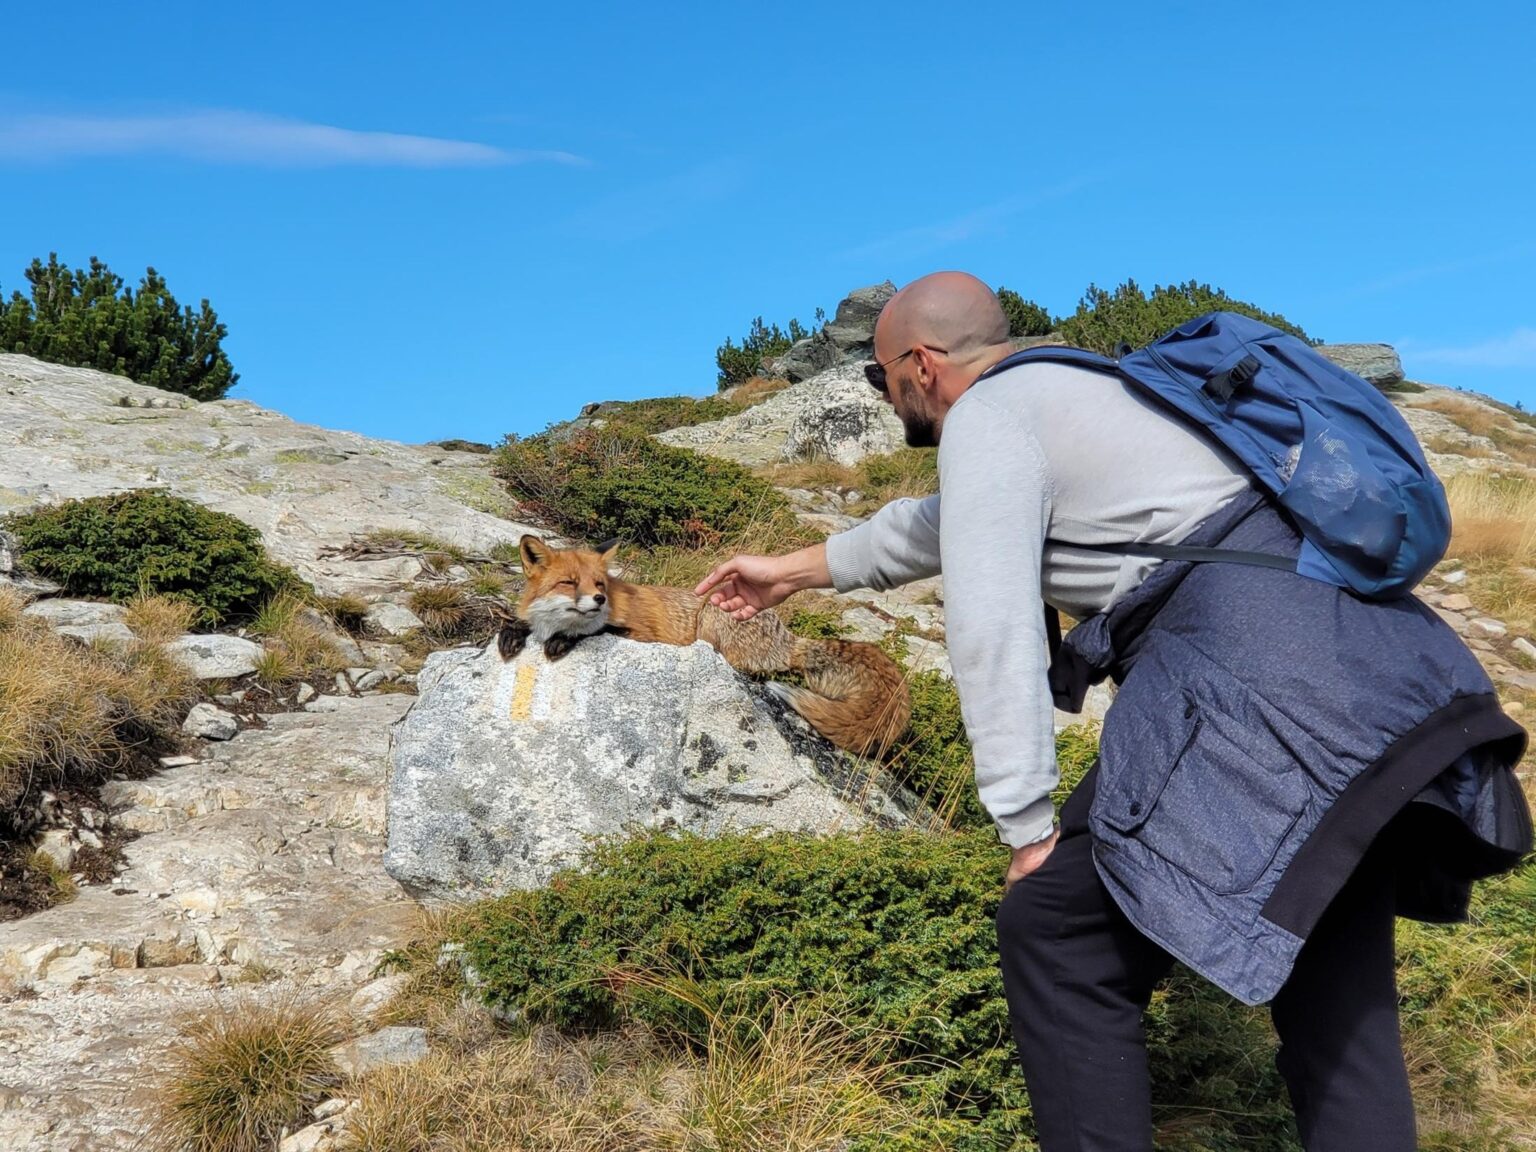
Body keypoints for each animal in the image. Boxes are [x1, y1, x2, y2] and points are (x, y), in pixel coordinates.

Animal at [496, 535, 911, 758]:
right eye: (568, 582)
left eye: (599, 584)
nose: (599, 600)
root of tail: (789, 638)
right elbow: (522, 622)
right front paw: (513, 632)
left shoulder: (640, 632)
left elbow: (592, 632)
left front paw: (561, 640)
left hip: (712, 615)